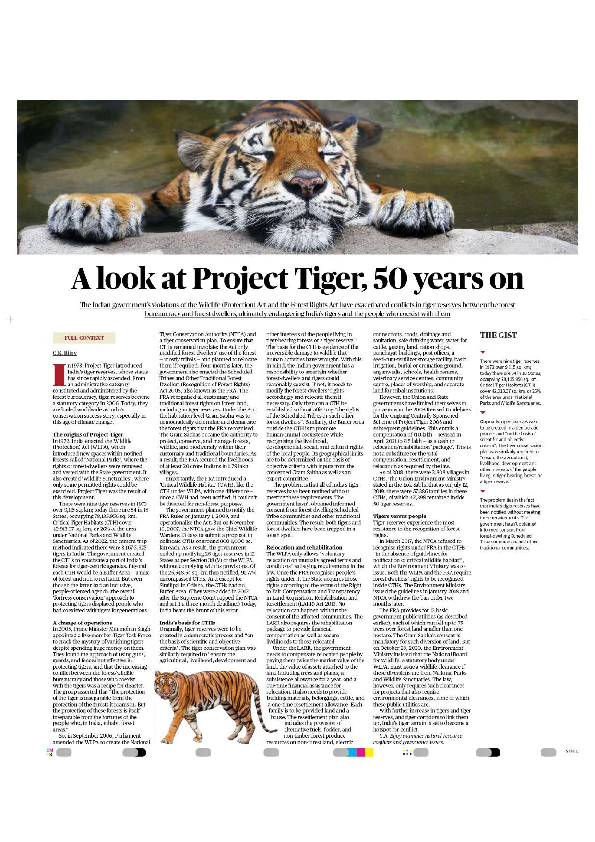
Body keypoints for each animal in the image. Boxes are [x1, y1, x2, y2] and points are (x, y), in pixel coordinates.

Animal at [46, 100, 454, 253]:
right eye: (260, 154)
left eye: (328, 154)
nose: (308, 184)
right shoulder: (167, 191)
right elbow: (132, 196)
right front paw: (87, 207)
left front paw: (421, 204)